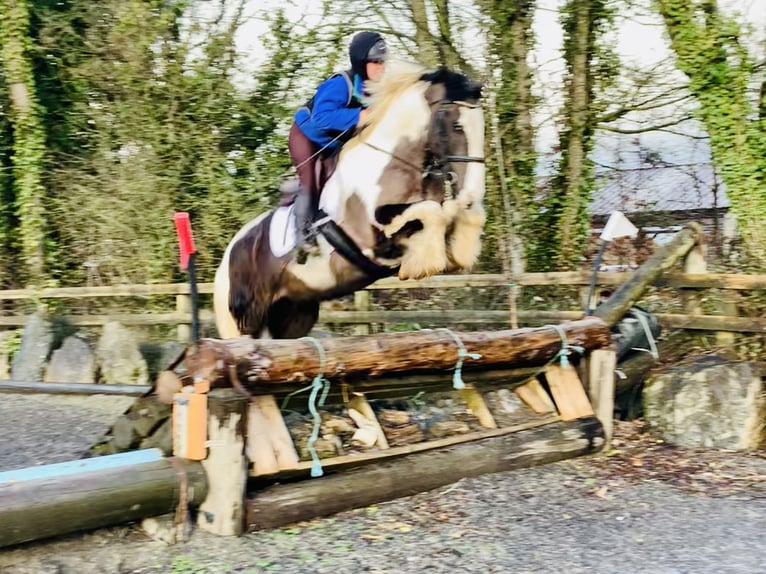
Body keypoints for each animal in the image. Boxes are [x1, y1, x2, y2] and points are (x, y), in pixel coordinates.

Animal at [213, 62, 486, 342]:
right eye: (456, 125)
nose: (472, 193)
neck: (396, 163)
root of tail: (223, 263)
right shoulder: (374, 240)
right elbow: (430, 213)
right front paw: (422, 264)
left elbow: (454, 215)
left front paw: (459, 251)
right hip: (242, 324)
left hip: (292, 315)